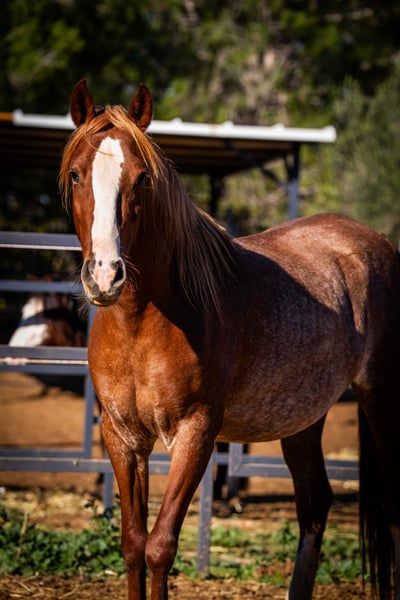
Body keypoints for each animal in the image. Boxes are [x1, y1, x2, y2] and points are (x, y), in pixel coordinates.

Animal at [59, 78, 400, 600]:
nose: (105, 275)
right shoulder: (122, 436)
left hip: (380, 396)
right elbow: (134, 544)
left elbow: (160, 546)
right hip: (302, 418)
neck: (143, 324)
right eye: (77, 174)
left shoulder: (196, 433)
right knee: (314, 505)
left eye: (142, 178)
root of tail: (376, 244)